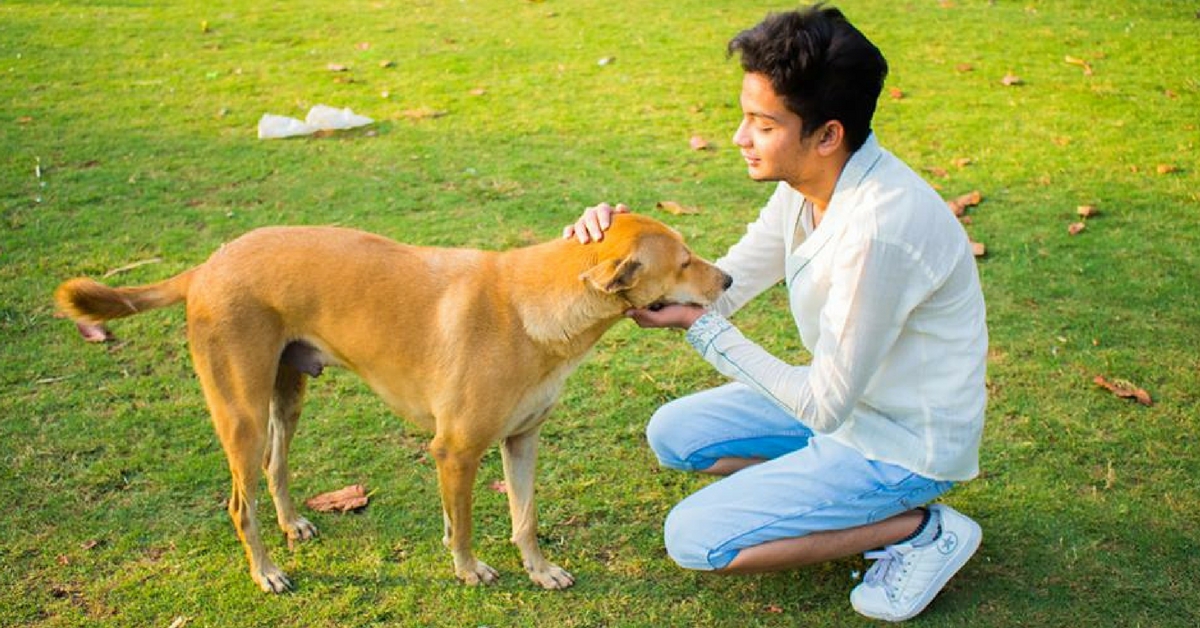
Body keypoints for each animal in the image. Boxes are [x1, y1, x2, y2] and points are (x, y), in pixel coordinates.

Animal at [54, 214, 729, 595]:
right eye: (684, 260)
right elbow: (465, 525)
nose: (725, 280)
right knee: (239, 503)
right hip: (240, 416)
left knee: (276, 468)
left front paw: (538, 569)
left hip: (286, 398)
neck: (534, 305)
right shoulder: (455, 451)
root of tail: (206, 266)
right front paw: (469, 571)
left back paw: (291, 524)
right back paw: (265, 571)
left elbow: (525, 517)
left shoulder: (522, 441)